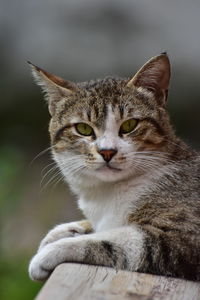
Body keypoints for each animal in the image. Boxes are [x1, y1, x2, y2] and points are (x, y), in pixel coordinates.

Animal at [27, 54, 200, 282]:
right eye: (83, 128)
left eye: (130, 125)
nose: (107, 151)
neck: (108, 193)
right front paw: (66, 230)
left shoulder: (185, 237)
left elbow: (114, 239)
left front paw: (51, 251)